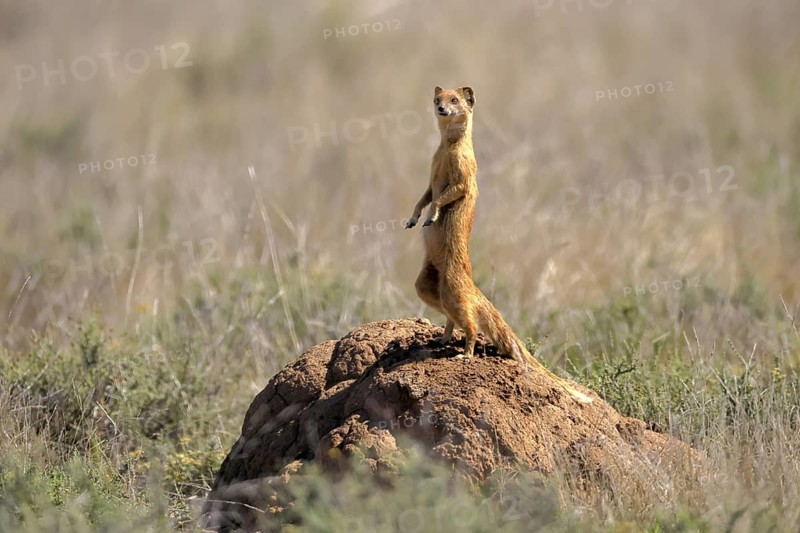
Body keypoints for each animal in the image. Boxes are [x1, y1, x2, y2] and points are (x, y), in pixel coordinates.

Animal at [405, 85, 592, 404]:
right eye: (437, 99)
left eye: (455, 100)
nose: (441, 108)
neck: (446, 150)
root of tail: (472, 285)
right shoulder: (431, 177)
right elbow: (425, 195)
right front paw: (415, 216)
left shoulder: (464, 176)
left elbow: (446, 195)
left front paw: (432, 216)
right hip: (428, 280)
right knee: (449, 312)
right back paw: (442, 337)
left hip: (451, 287)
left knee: (470, 322)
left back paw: (465, 354)